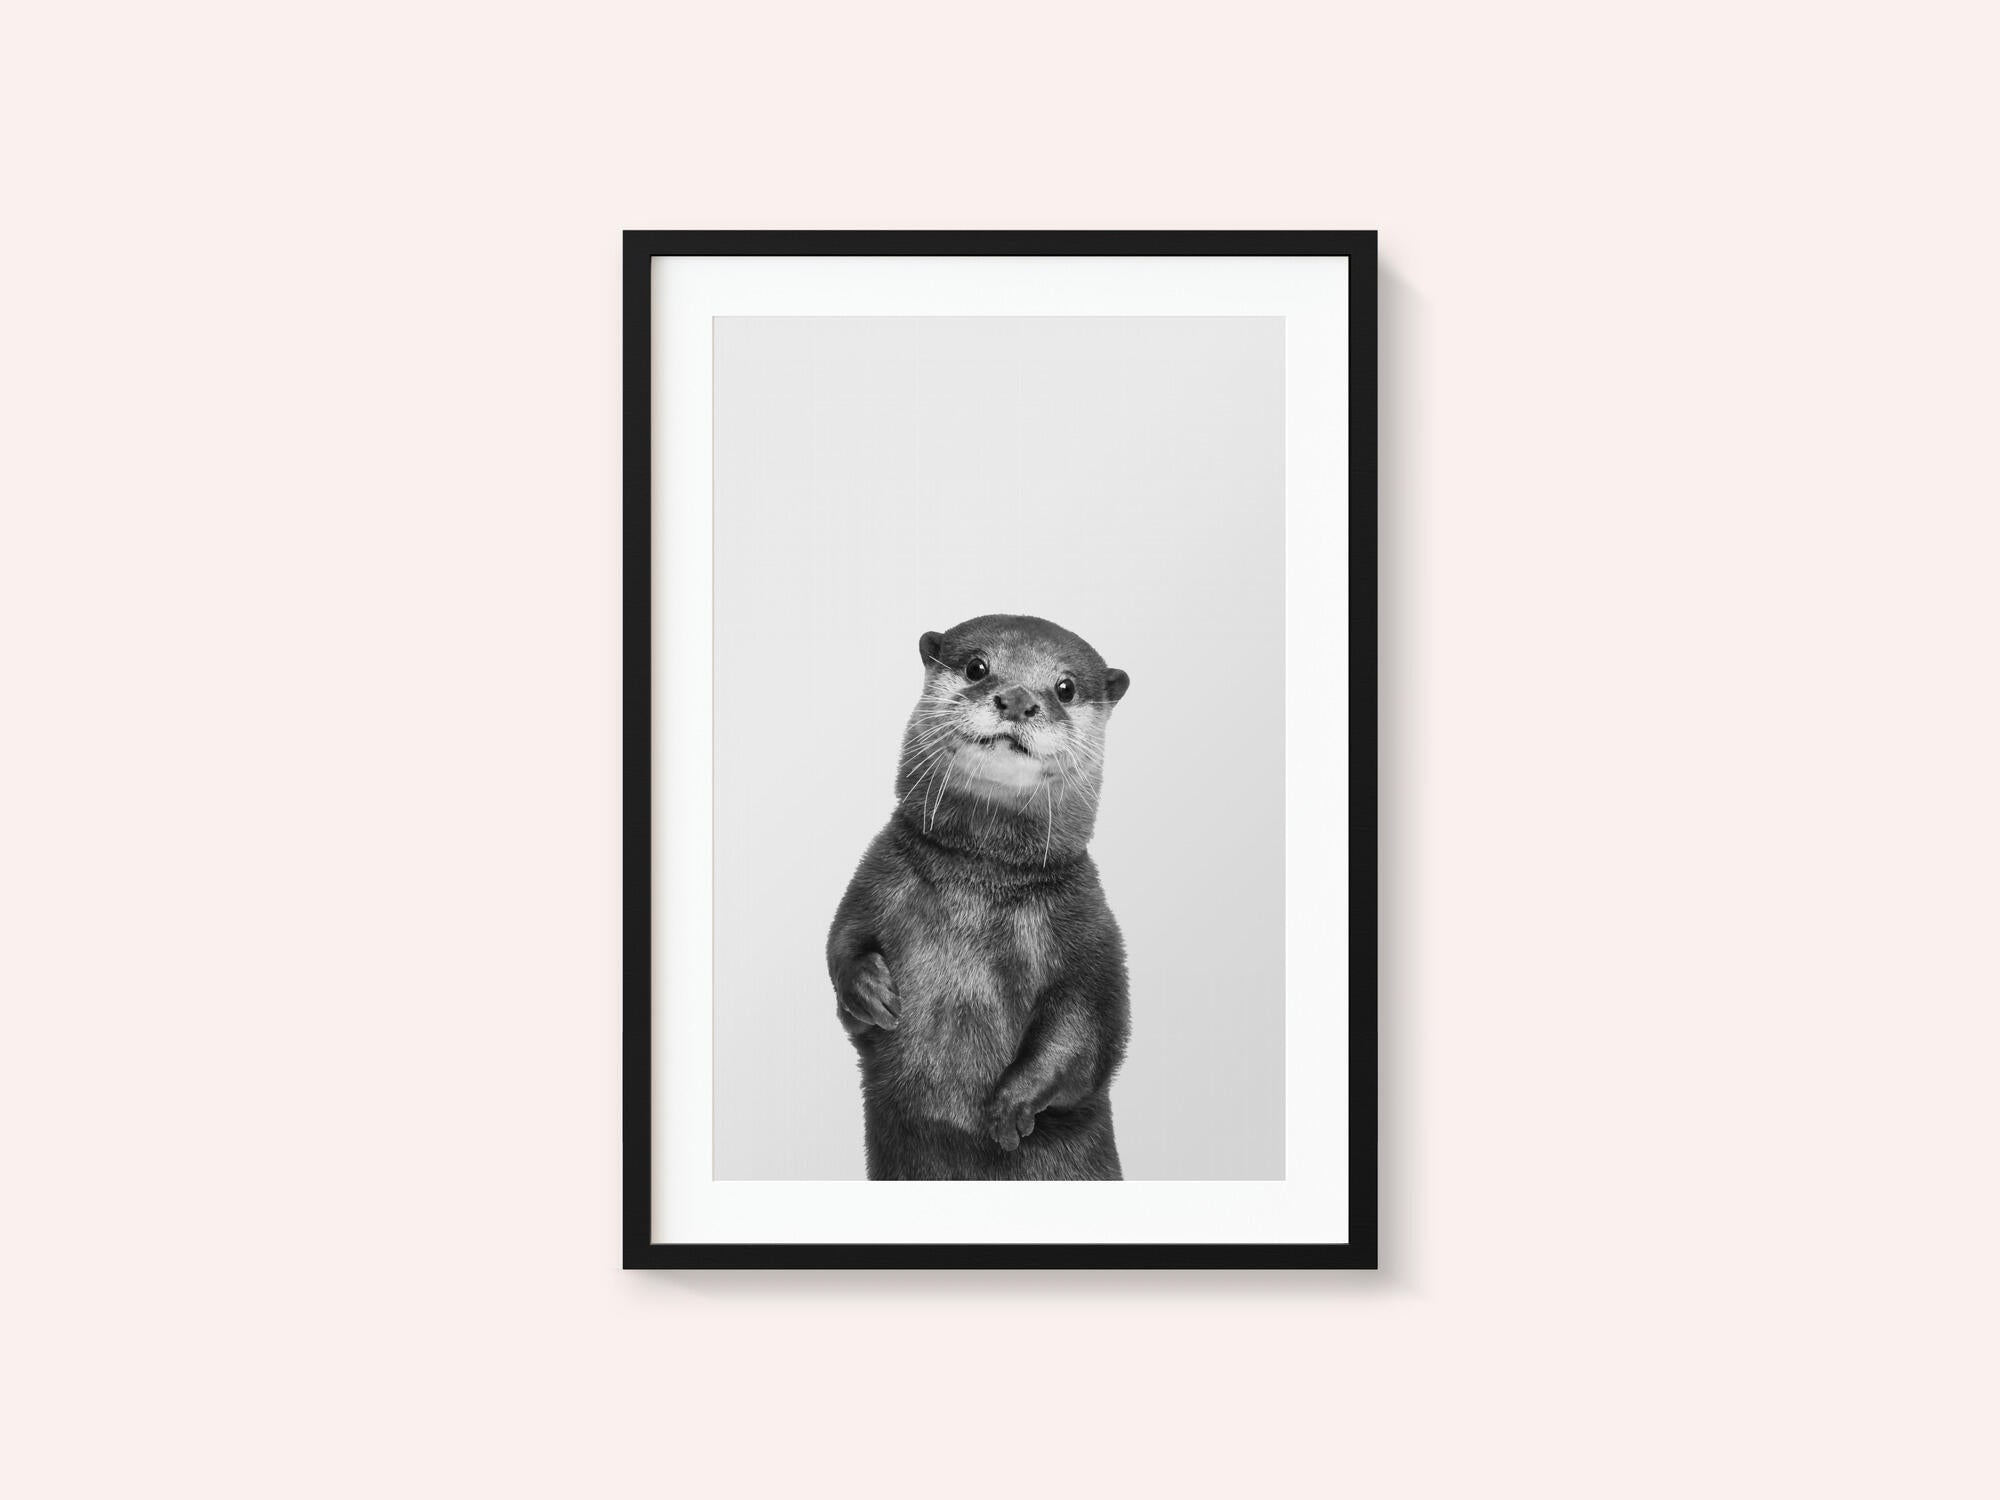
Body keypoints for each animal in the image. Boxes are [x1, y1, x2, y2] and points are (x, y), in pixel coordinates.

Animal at [826, 614, 1133, 1180]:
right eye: (976, 666)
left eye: (1065, 687)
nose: (1017, 699)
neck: (980, 882)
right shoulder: (874, 878)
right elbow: (842, 944)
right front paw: (869, 990)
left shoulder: (1090, 928)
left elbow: (1089, 1027)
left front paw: (1012, 1105)